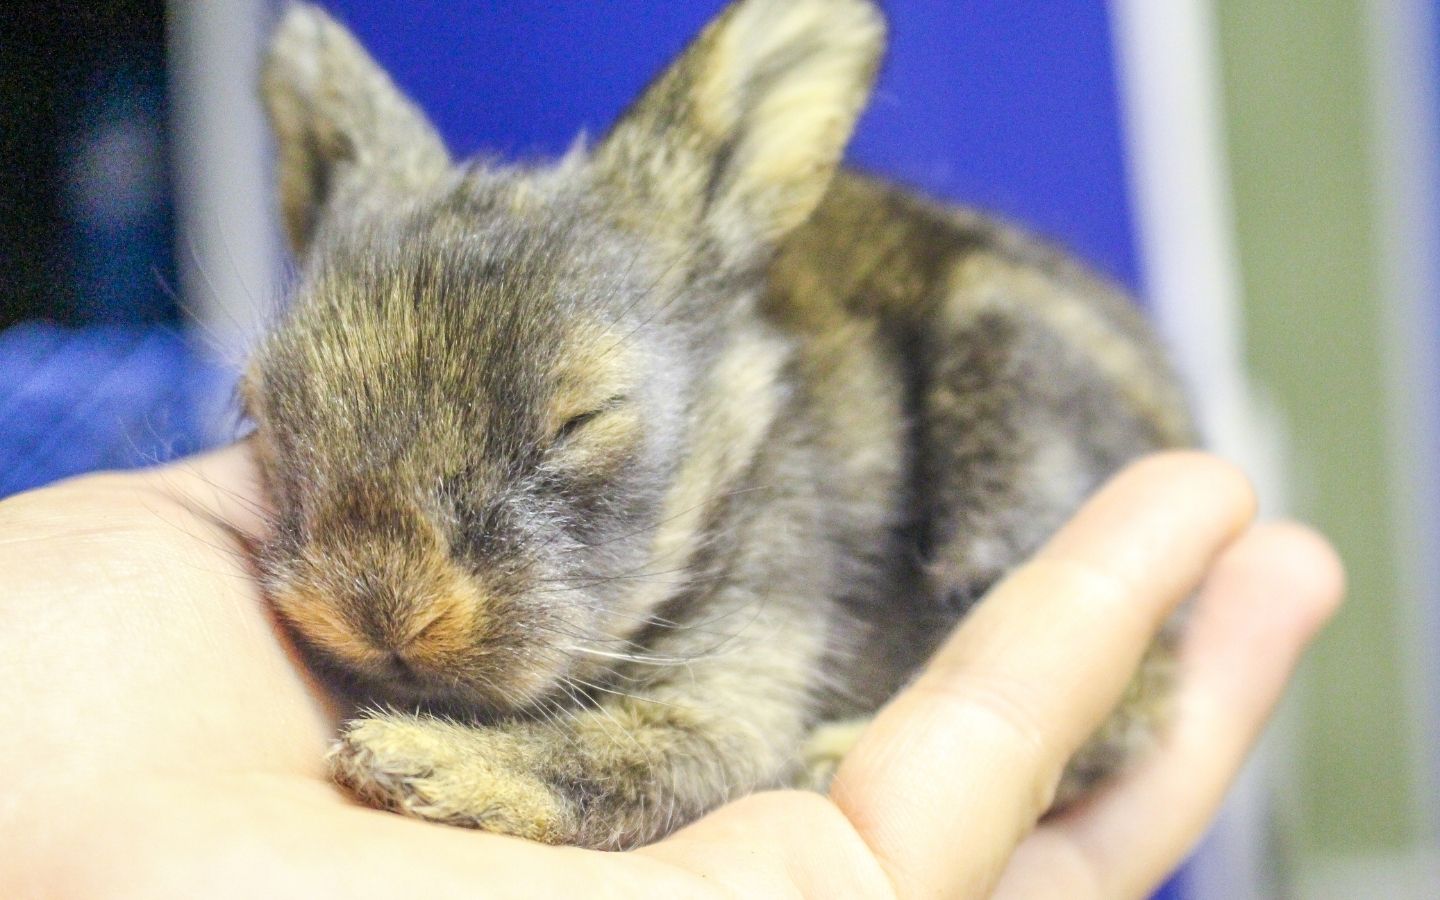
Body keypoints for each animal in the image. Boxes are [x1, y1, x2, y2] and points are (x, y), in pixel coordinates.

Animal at [250, 0, 1192, 846]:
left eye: (586, 418)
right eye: (262, 411)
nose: (380, 604)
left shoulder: (740, 673)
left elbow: (618, 759)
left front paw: (414, 758)